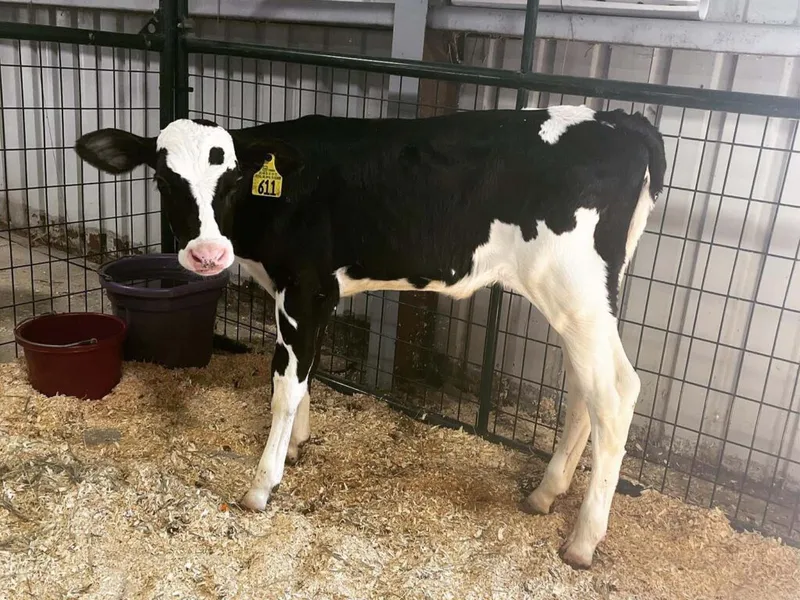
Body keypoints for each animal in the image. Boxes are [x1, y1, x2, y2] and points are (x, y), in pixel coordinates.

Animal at [74, 104, 666, 569]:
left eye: (235, 181)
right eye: (163, 179)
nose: (207, 255)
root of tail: (619, 120)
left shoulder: (308, 289)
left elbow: (285, 382)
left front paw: (263, 484)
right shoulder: (298, 294)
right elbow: (302, 375)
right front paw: (297, 445)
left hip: (575, 288)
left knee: (616, 392)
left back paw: (583, 540)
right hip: (582, 300)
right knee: (582, 389)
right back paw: (545, 494)